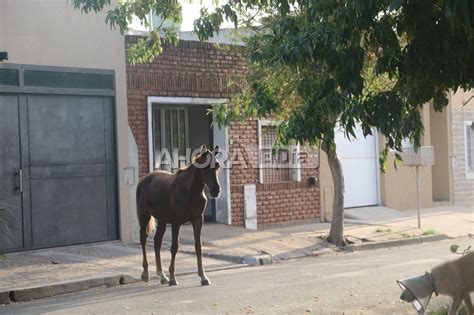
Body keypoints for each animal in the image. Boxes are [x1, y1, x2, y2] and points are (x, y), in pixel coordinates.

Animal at [135, 146, 220, 286]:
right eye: (205, 167)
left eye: (217, 166)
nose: (216, 190)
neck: (190, 191)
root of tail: (143, 180)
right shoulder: (176, 222)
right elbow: (175, 247)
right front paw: (173, 277)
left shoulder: (198, 220)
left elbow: (198, 246)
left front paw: (203, 277)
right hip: (144, 215)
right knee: (143, 238)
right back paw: (146, 274)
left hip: (162, 220)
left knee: (157, 241)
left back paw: (162, 276)